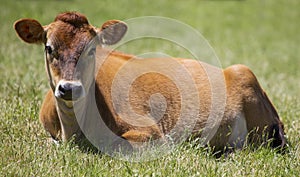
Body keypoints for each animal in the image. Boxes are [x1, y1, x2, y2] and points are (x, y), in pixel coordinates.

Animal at [13, 11, 286, 154]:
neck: (73, 131)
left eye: (91, 50)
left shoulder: (150, 132)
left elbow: (114, 144)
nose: (70, 88)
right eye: (49, 48)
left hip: (246, 78)